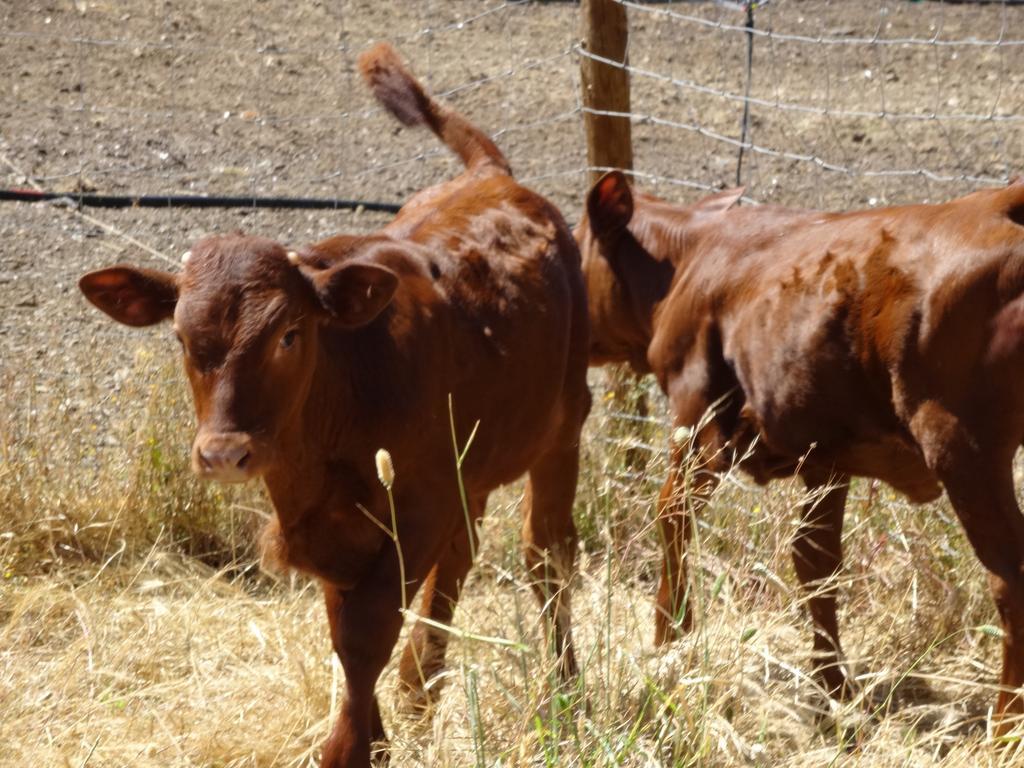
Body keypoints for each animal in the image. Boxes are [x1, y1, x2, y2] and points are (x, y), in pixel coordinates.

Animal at [77, 43, 593, 768]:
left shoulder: (416, 505)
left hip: (564, 425)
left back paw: (565, 692)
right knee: (462, 559)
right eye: (179, 336)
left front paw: (349, 746)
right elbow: (343, 625)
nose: (225, 454)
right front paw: (376, 733)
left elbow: (365, 631)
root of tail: (492, 177)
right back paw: (420, 692)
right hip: (473, 459)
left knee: (548, 557)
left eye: (290, 334)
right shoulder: (330, 524)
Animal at [581, 171, 1024, 737]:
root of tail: (1000, 201)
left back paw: (1005, 728)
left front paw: (669, 639)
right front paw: (832, 686)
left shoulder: (696, 420)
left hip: (963, 448)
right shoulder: (826, 456)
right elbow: (816, 560)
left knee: (1009, 579)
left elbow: (672, 516)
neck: (687, 256)